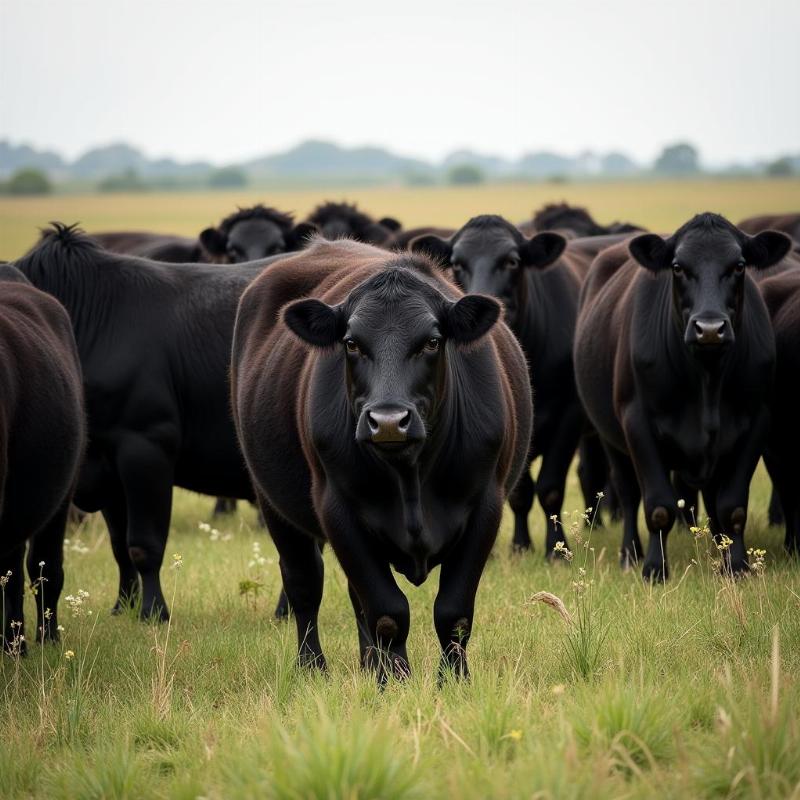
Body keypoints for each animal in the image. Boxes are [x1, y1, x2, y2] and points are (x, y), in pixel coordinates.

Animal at [12, 225, 290, 620]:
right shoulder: (104, 459)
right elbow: (119, 545)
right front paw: (122, 606)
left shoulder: (144, 446)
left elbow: (145, 544)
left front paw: (153, 613)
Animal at [231, 238, 532, 680]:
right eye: (351, 343)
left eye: (432, 341)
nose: (388, 421)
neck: (410, 477)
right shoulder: (337, 509)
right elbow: (388, 612)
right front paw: (395, 682)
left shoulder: (486, 505)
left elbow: (454, 614)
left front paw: (453, 681)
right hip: (273, 503)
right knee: (305, 584)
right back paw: (313, 668)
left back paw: (367, 663)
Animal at [410, 217, 592, 556]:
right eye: (457, 263)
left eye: (512, 261)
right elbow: (520, 492)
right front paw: (520, 546)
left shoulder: (568, 415)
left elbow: (550, 488)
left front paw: (556, 549)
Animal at [576, 212, 788, 576]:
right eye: (677, 267)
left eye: (739, 265)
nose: (710, 329)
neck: (707, 379)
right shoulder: (637, 423)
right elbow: (659, 507)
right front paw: (654, 569)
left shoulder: (756, 421)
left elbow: (732, 507)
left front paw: (736, 566)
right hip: (610, 437)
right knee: (628, 494)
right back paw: (630, 554)